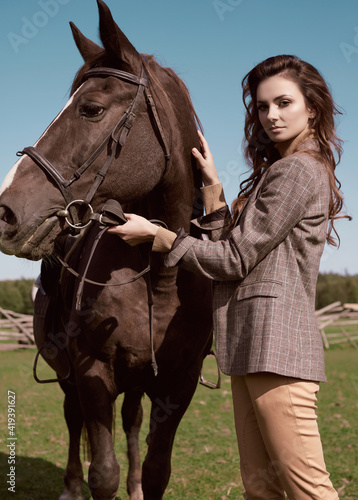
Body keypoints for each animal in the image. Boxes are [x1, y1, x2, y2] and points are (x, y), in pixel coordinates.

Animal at [0, 1, 213, 498]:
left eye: (91, 108)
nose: (5, 211)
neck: (160, 275)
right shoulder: (91, 373)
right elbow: (102, 472)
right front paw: (89, 482)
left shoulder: (178, 385)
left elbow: (156, 470)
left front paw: (139, 483)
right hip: (68, 373)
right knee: (73, 418)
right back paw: (70, 485)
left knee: (132, 419)